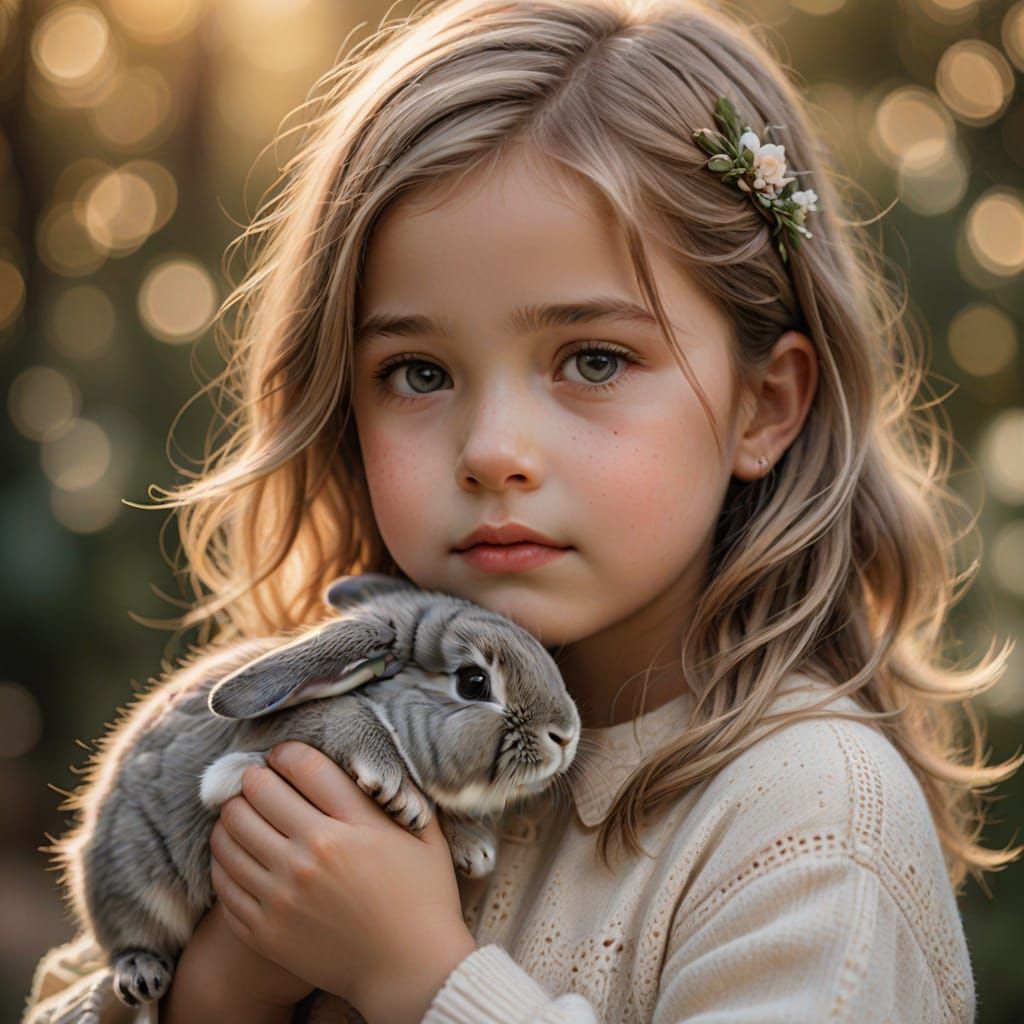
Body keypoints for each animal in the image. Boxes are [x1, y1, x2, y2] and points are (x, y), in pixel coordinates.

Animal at [34, 574, 580, 1020]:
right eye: (474, 682)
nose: (566, 734)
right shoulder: (270, 745)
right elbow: (346, 722)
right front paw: (400, 795)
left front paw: (474, 847)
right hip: (131, 877)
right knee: (127, 936)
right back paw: (141, 974)